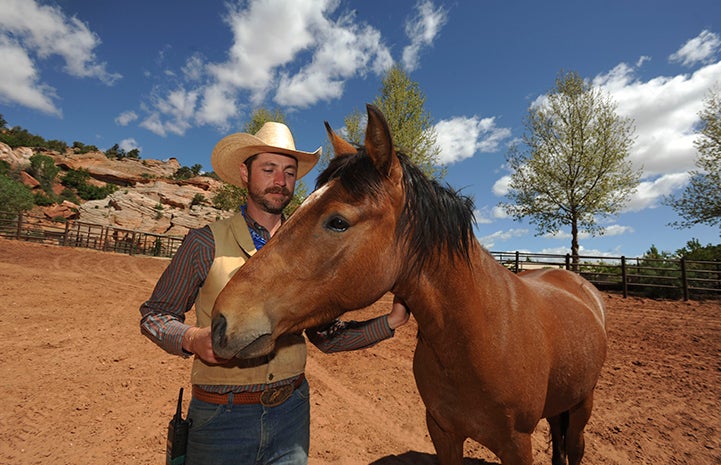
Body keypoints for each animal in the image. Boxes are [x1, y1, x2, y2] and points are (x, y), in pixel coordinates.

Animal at [211, 105, 604, 464]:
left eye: (337, 222)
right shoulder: (442, 432)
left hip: (582, 407)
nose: (221, 320)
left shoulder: (517, 446)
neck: (480, 338)